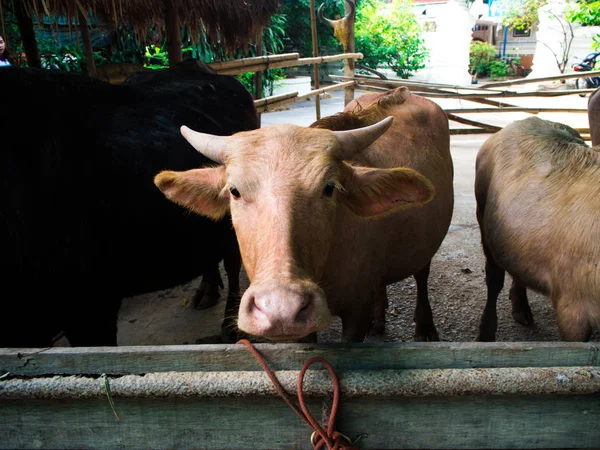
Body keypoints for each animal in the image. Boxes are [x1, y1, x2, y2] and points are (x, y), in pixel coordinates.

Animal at [155, 87, 454, 342]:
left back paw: (425, 328)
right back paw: (379, 323)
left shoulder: (356, 312)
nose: (280, 309)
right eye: (234, 191)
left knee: (422, 275)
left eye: (329, 188)